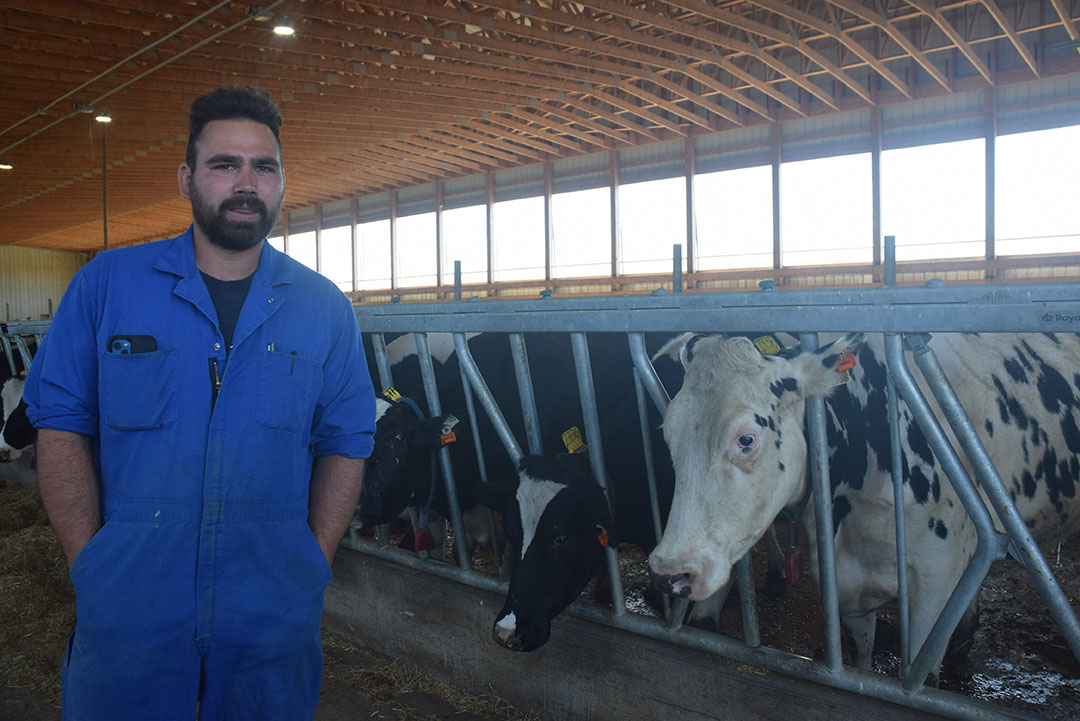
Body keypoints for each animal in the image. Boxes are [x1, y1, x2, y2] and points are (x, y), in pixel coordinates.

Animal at [648, 330, 1080, 677]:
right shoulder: (847, 583)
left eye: (746, 439)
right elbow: (861, 661)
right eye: (667, 434)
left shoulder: (935, 583)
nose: (670, 572)